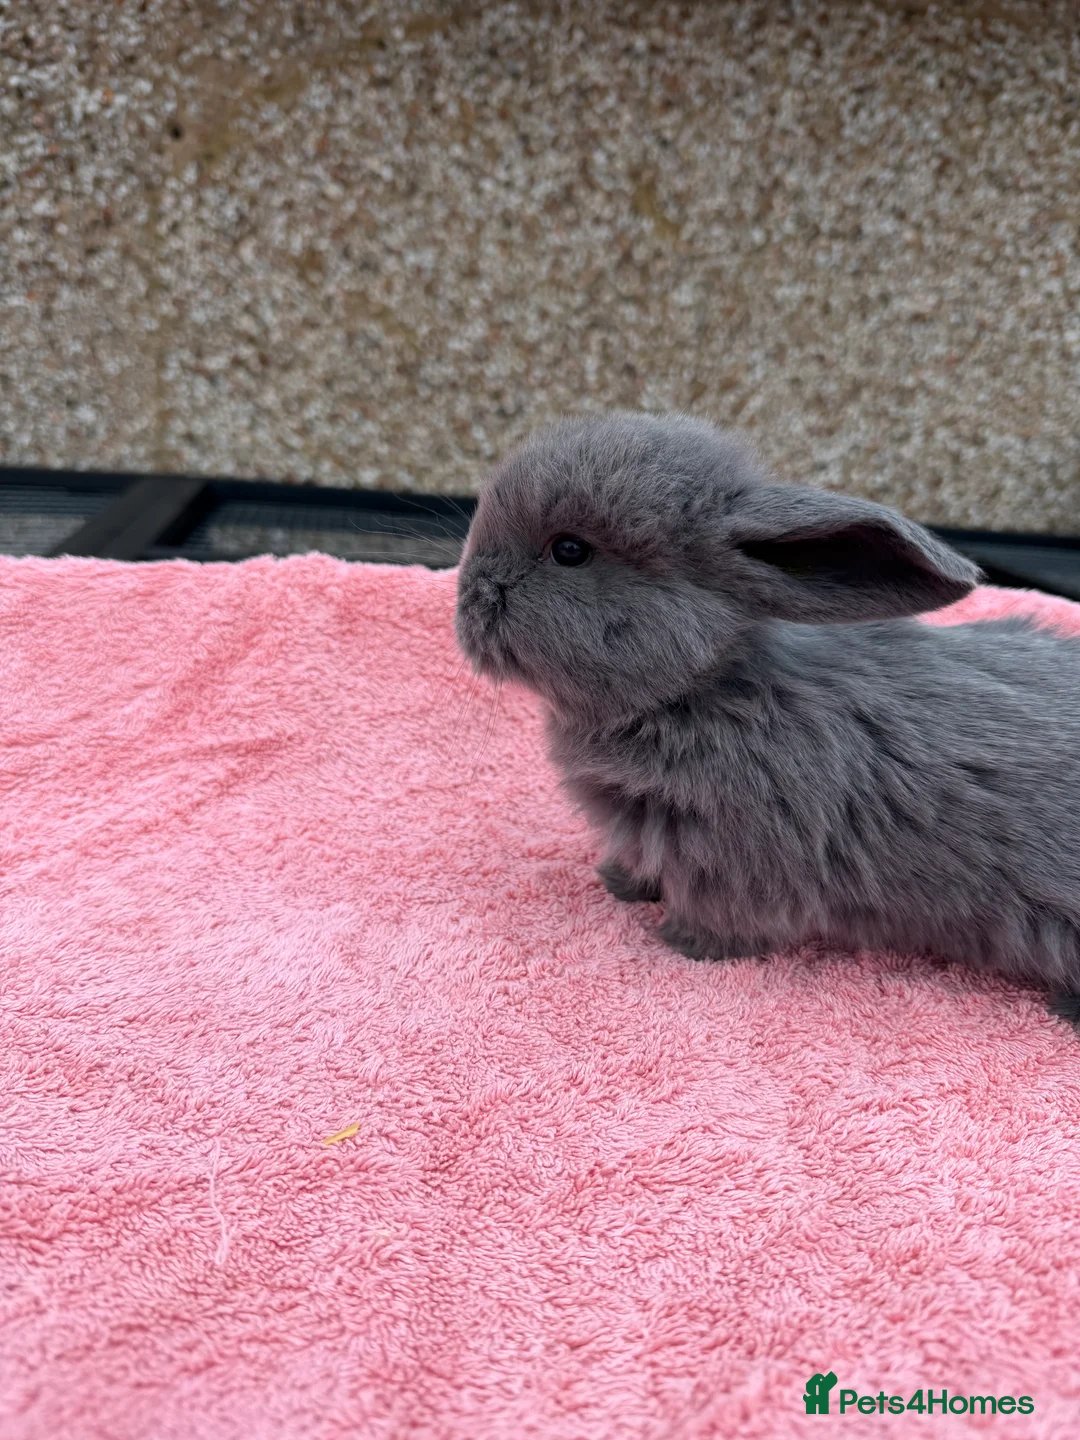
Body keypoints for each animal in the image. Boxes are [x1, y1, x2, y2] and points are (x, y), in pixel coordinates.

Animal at [455, 410, 1080, 1024]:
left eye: (569, 550)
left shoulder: (736, 860)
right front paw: (619, 884)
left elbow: (725, 920)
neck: (703, 688)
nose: (469, 597)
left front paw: (681, 944)